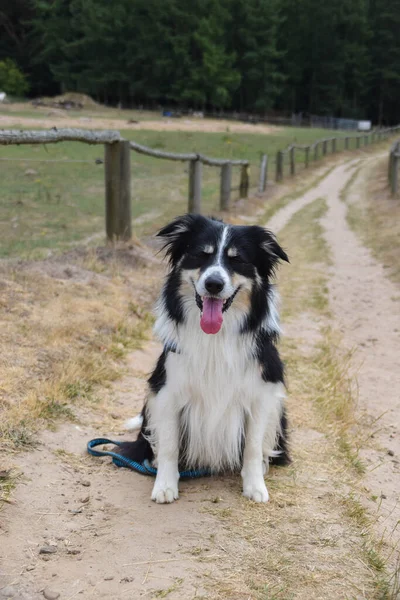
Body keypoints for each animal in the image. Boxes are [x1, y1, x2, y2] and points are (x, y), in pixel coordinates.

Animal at [120, 213, 290, 504]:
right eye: (201, 255)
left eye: (237, 259)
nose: (214, 284)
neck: (215, 337)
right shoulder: (167, 391)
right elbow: (169, 445)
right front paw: (165, 485)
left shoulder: (261, 393)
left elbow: (253, 446)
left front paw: (255, 486)